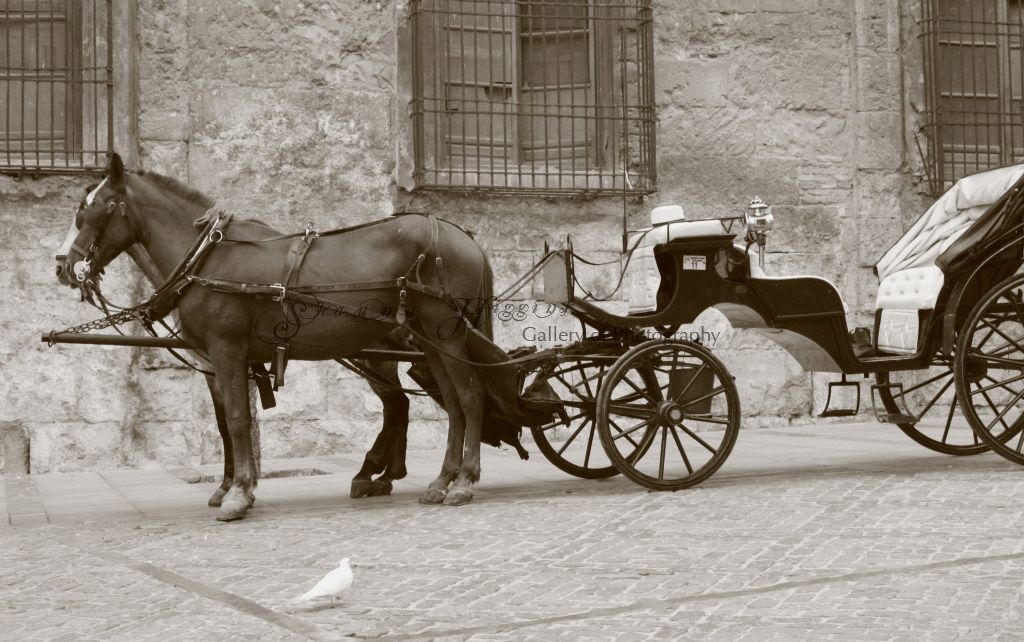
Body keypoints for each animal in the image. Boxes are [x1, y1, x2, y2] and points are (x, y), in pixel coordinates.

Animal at [55, 152, 500, 521]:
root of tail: (464, 236)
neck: (207, 259)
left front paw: (237, 494)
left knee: (467, 397)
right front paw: (238, 487)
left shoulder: (226, 351)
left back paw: (462, 480)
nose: (64, 265)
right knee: (449, 404)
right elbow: (230, 423)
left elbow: (236, 421)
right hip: (428, 341)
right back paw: (437, 480)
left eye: (92, 208)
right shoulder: (221, 362)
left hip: (444, 336)